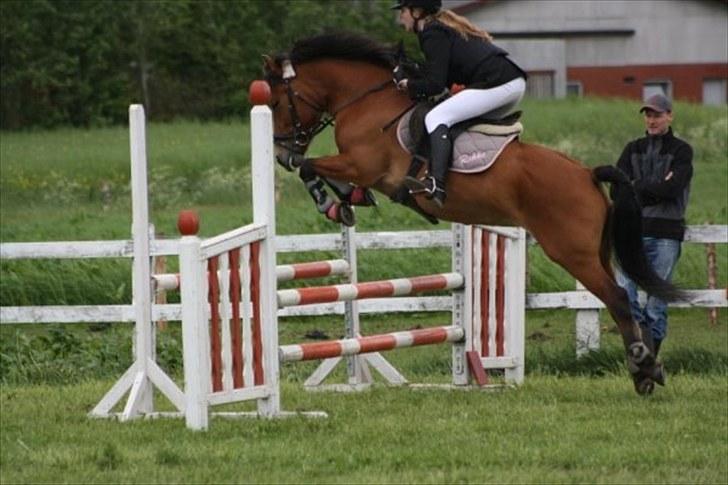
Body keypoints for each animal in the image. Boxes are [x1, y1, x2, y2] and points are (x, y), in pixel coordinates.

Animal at [262, 32, 680, 395]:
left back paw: (642, 365)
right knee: (623, 302)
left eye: (277, 103)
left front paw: (330, 201)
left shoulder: (361, 164)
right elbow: (321, 171)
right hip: (596, 252)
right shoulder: (361, 169)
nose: (279, 151)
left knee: (617, 298)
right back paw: (648, 371)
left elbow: (309, 165)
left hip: (572, 252)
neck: (365, 101)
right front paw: (347, 201)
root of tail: (587, 174)